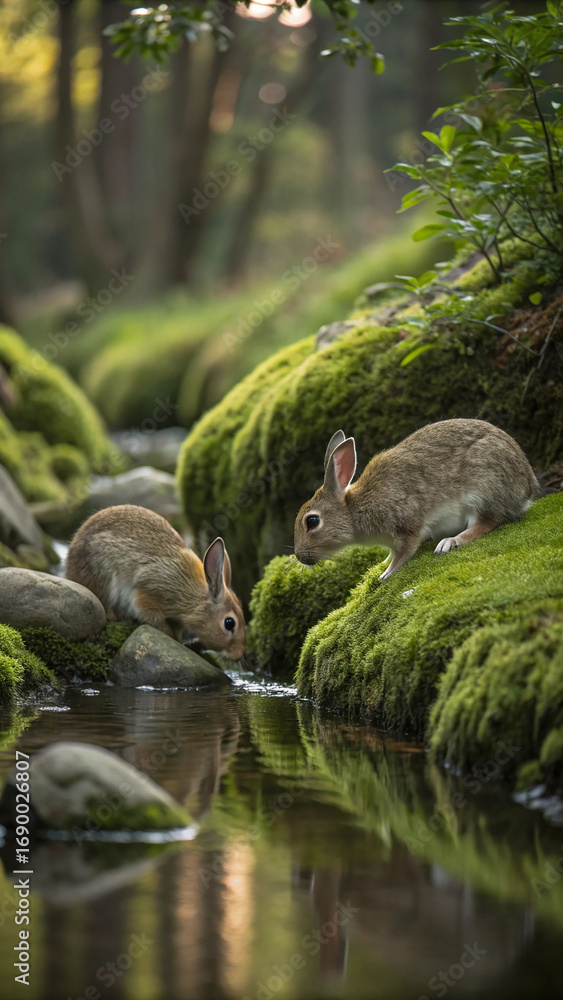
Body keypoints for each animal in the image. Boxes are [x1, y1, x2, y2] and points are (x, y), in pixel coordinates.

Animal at [66, 505, 245, 659]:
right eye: (229, 623)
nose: (238, 655)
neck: (196, 599)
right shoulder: (150, 592)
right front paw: (173, 637)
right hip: (103, 575)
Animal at [294, 418, 539, 580]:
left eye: (312, 521)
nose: (300, 556)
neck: (354, 510)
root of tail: (527, 486)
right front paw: (383, 563)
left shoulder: (404, 525)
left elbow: (404, 552)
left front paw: (386, 573)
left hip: (483, 489)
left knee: (487, 522)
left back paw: (450, 542)